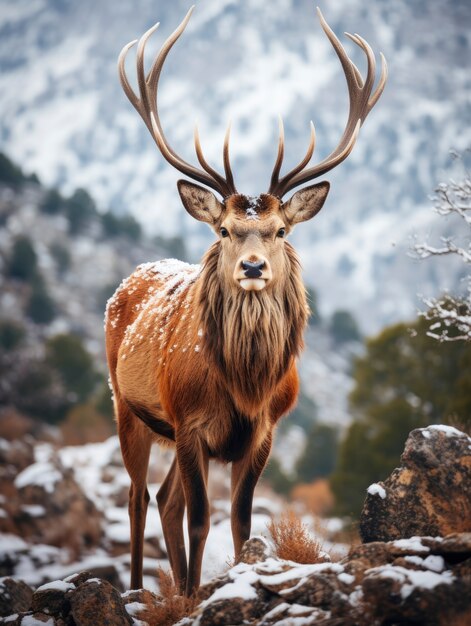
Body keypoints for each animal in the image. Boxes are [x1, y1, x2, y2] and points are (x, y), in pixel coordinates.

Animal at [107, 6, 388, 596]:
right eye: (226, 229)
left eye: (280, 229)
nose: (254, 267)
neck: (245, 384)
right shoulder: (189, 422)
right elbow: (200, 517)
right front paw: (193, 596)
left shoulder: (264, 431)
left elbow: (239, 518)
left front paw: (232, 578)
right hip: (128, 406)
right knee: (138, 498)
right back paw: (141, 590)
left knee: (162, 499)